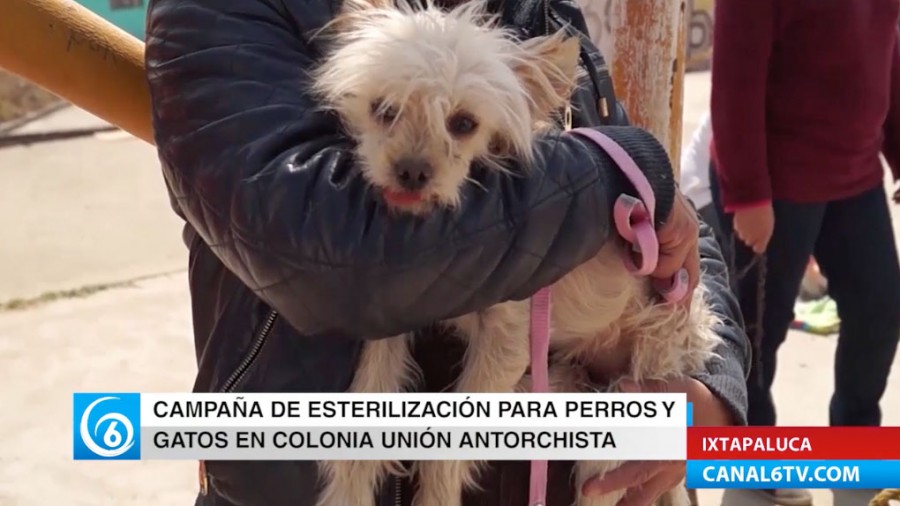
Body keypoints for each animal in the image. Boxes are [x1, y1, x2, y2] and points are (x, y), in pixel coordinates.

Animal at [312, 0, 720, 506]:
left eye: (463, 124)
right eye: (384, 110)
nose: (411, 172)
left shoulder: (506, 343)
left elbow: (444, 457)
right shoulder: (391, 321)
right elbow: (361, 433)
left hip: (635, 390)